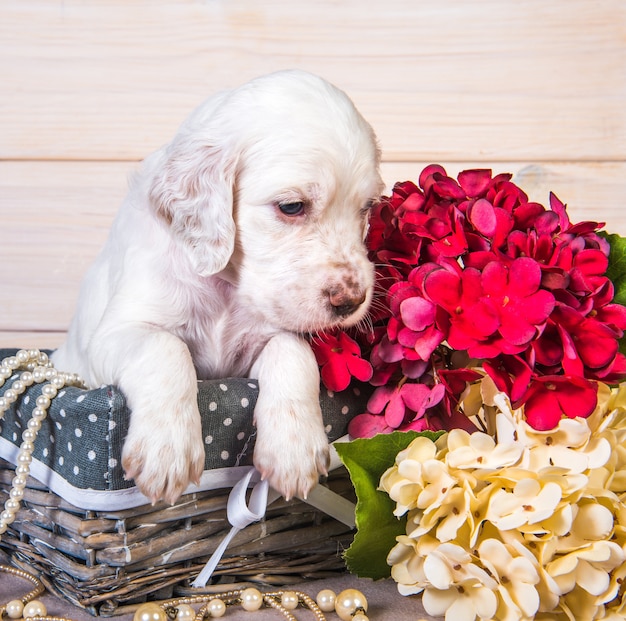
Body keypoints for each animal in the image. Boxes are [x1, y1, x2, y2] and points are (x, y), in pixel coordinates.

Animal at [53, 69, 382, 504]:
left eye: (367, 208)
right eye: (291, 206)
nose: (352, 300)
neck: (226, 289)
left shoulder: (263, 339)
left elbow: (294, 354)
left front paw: (294, 449)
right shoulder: (110, 336)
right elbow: (165, 348)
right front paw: (167, 450)